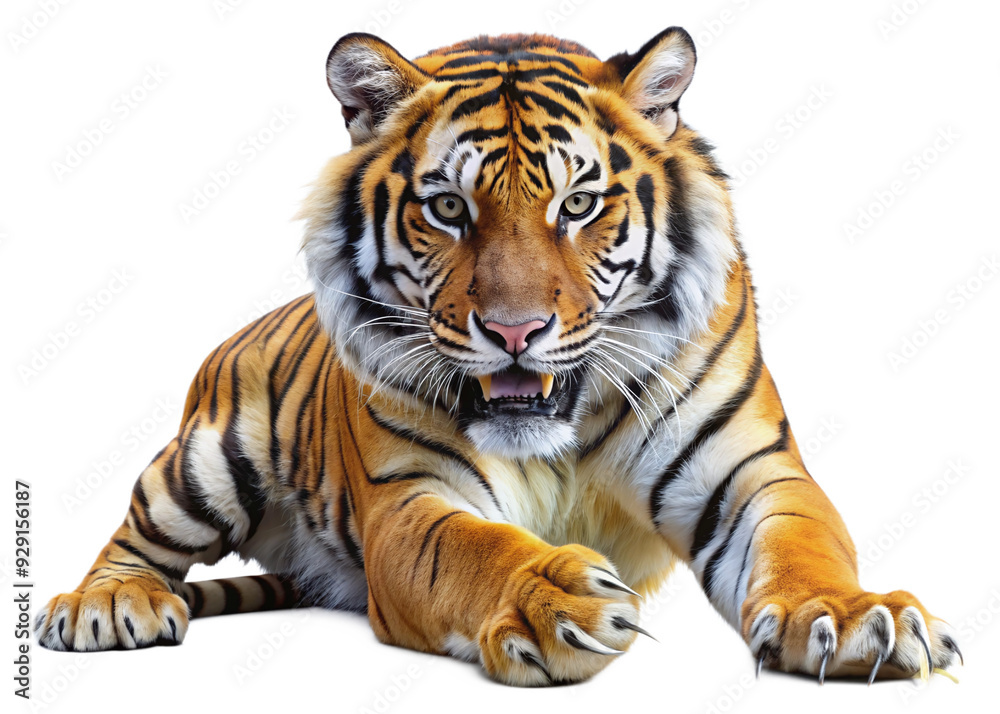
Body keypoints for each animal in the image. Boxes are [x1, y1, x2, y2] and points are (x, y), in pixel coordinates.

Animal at [35, 28, 961, 686]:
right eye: (448, 208)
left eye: (578, 204)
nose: (516, 332)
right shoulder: (409, 498)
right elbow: (474, 550)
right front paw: (555, 599)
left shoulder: (750, 470)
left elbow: (805, 542)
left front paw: (852, 618)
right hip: (200, 463)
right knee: (135, 533)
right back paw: (107, 605)